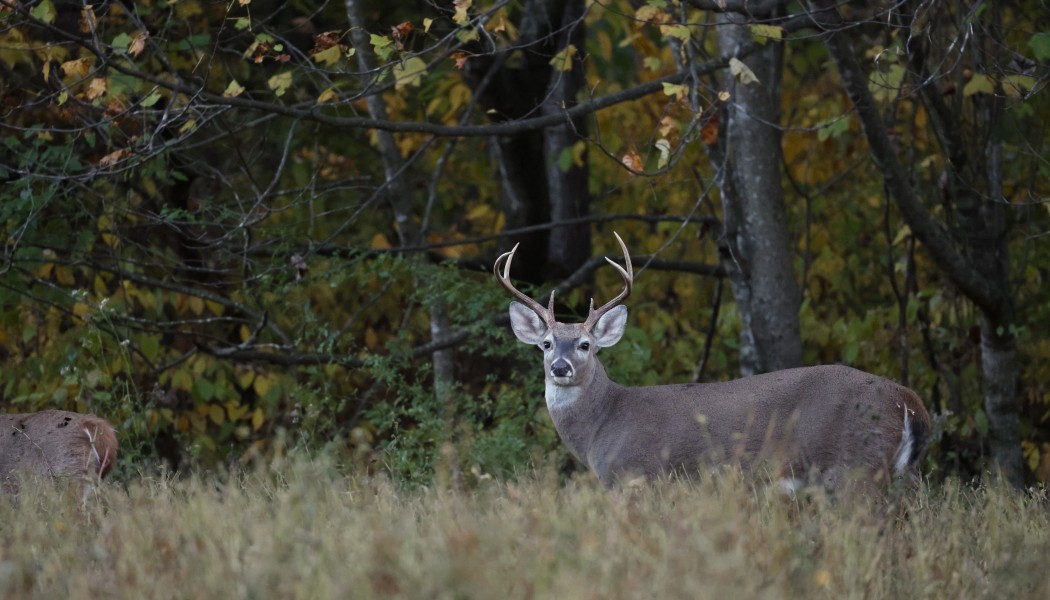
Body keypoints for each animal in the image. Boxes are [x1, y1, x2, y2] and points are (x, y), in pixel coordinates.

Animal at [495, 233, 930, 493]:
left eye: (585, 345)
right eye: (546, 344)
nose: (560, 368)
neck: (602, 424)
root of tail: (906, 397)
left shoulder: (638, 475)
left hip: (855, 464)